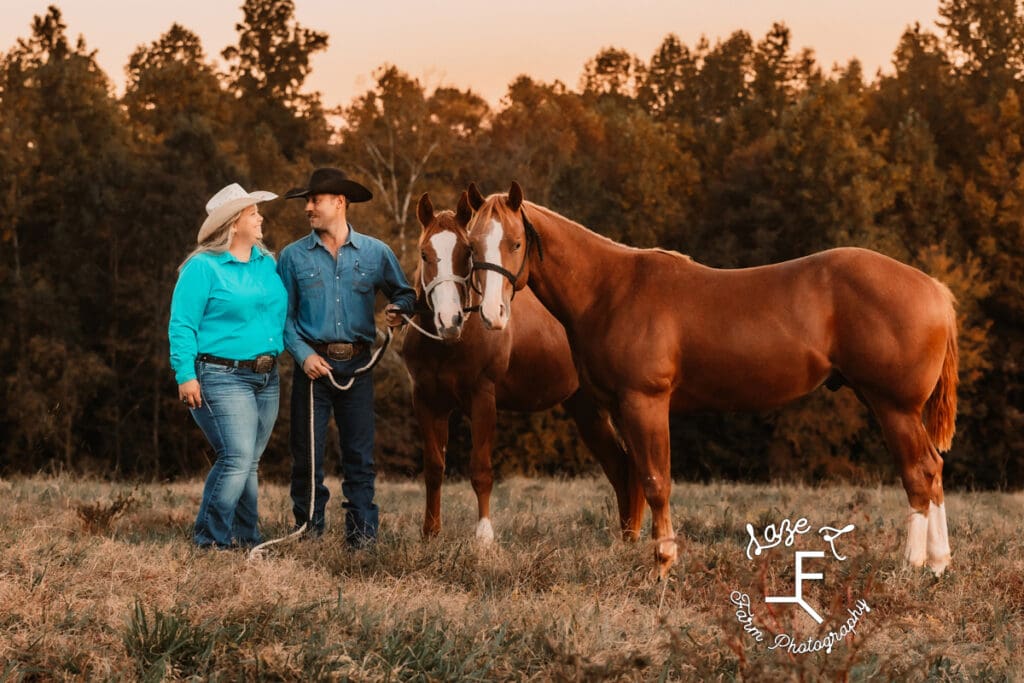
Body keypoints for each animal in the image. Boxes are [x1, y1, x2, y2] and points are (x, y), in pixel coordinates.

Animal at [397, 193, 638, 544]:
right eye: (424, 253)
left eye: (466, 253)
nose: (449, 320)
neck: (450, 344)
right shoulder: (427, 401)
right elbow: (433, 469)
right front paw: (430, 534)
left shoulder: (482, 398)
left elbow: (481, 470)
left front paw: (484, 537)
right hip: (586, 408)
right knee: (619, 467)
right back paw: (627, 536)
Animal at [468, 181, 962, 577]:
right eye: (472, 247)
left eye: (515, 243)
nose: (491, 315)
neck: (610, 289)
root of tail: (934, 289)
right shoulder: (623, 409)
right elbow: (637, 479)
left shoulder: (646, 402)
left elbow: (656, 481)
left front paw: (663, 563)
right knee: (934, 471)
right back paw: (939, 564)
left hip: (893, 407)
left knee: (919, 474)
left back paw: (913, 565)